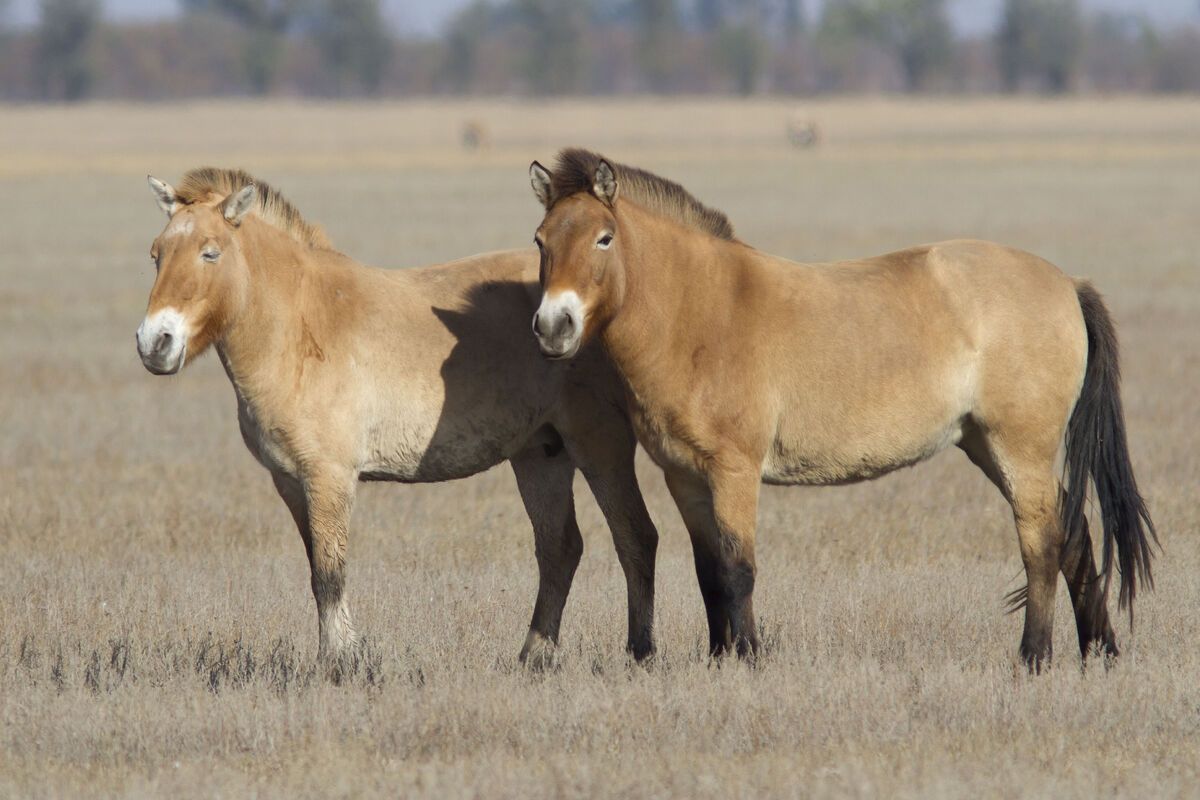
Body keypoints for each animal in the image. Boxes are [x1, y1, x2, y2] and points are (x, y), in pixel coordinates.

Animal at [136, 167, 659, 676]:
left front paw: (338, 665)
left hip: (600, 448)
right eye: (156, 255)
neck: (300, 326)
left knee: (635, 536)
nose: (154, 343)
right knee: (560, 549)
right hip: (540, 456)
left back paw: (641, 651)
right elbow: (316, 570)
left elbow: (330, 574)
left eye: (210, 253)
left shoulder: (329, 478)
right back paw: (534, 656)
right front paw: (345, 655)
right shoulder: (289, 481)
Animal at [527, 148, 1156, 670]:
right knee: (1073, 534)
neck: (700, 312)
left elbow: (737, 570)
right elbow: (709, 572)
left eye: (604, 238)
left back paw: (1034, 658)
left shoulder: (734, 471)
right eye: (540, 240)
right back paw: (1099, 652)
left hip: (1019, 448)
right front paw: (717, 659)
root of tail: (1066, 283)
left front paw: (749, 660)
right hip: (986, 446)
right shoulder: (684, 476)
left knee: (1042, 543)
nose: (553, 326)